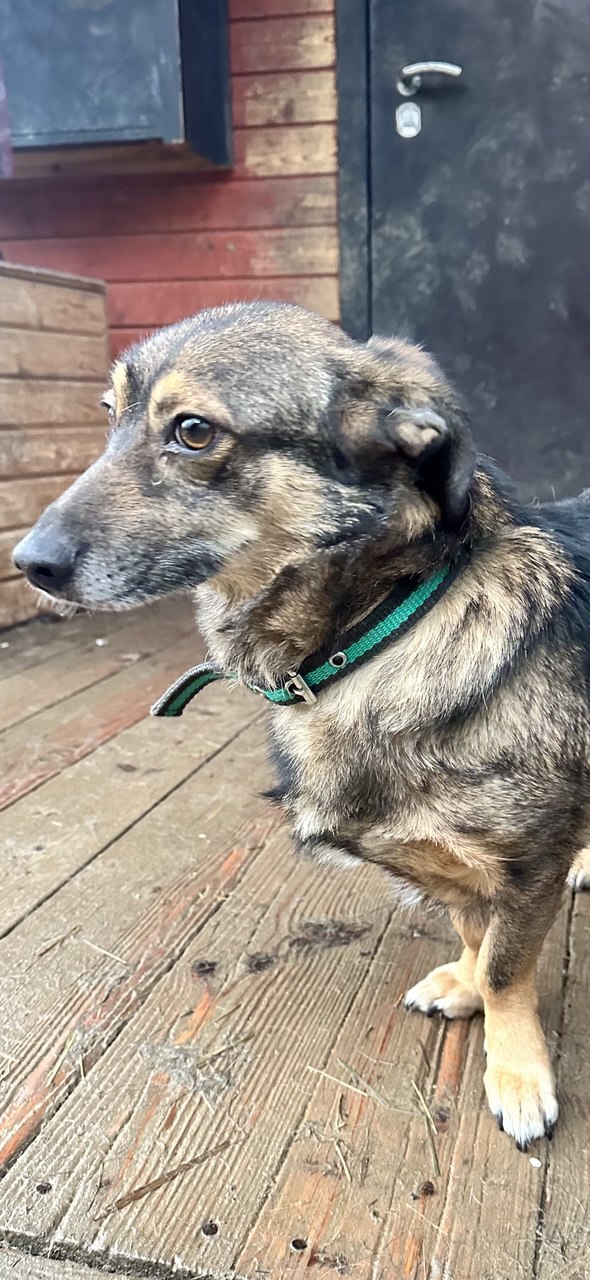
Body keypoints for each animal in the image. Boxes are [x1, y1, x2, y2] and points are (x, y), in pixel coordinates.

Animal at [13, 301, 590, 1150]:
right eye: (107, 413)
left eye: (193, 431)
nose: (29, 564)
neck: (382, 624)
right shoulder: (466, 871)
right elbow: (473, 935)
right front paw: (463, 983)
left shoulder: (526, 865)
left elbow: (507, 967)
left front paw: (516, 1072)